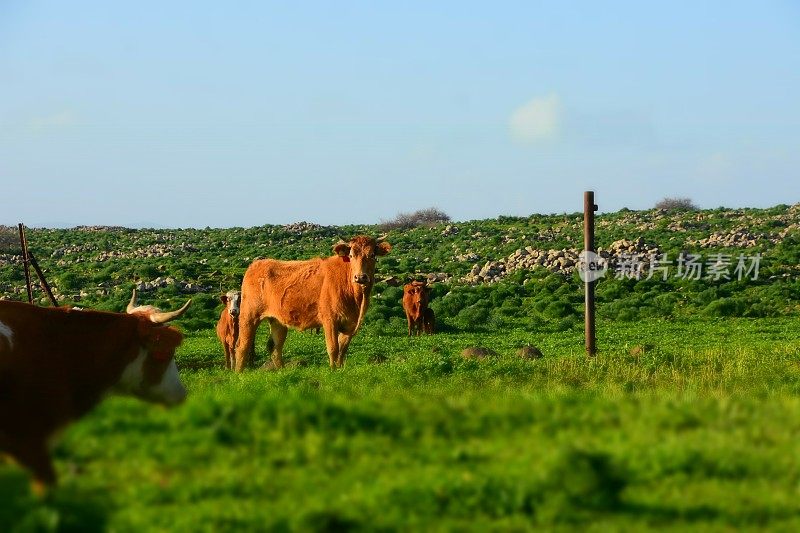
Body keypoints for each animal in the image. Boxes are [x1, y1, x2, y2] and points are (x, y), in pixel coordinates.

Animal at [233, 235, 392, 368]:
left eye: (372, 255)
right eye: (351, 255)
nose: (360, 277)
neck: (356, 297)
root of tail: (256, 264)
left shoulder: (350, 326)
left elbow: (342, 351)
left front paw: (340, 369)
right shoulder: (330, 320)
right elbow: (333, 348)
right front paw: (333, 371)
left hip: (277, 321)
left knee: (275, 348)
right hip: (248, 316)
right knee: (242, 346)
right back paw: (239, 374)